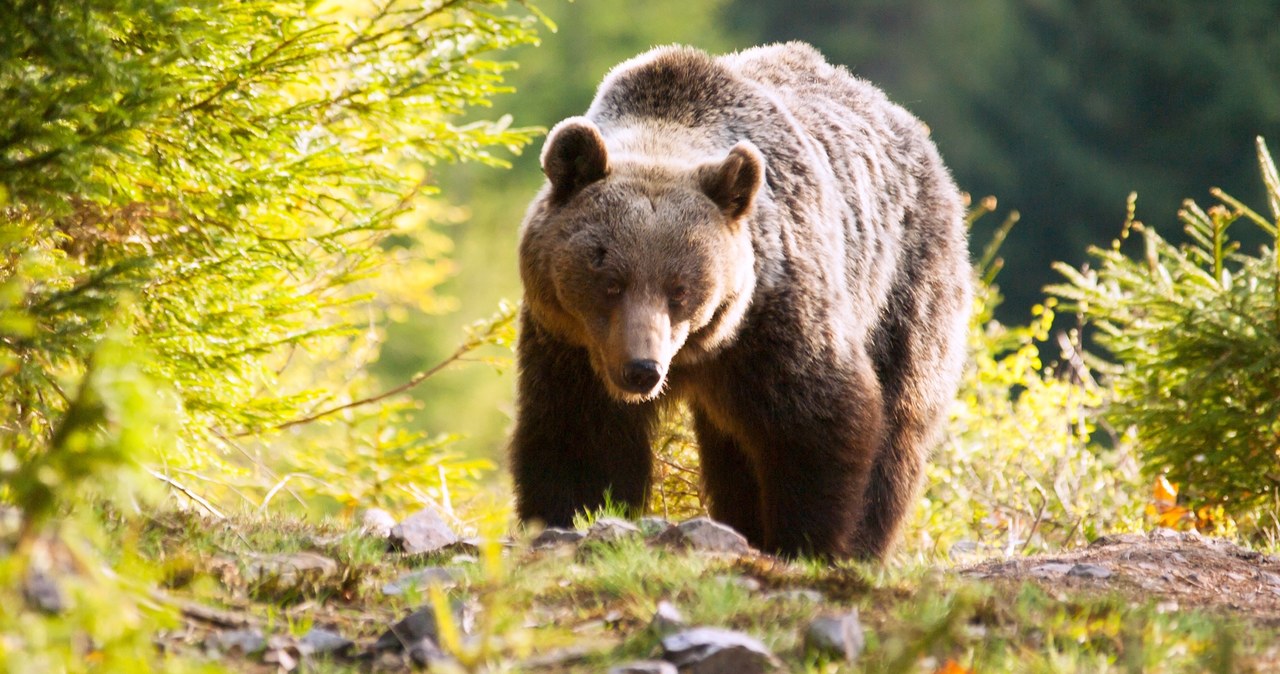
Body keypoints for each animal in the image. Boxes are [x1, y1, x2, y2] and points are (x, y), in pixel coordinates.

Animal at [509, 40, 967, 560]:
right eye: (609, 280)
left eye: (680, 288)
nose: (642, 369)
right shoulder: (570, 341)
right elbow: (580, 435)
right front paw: (569, 516)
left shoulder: (773, 317)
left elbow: (818, 421)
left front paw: (810, 541)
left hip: (903, 286)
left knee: (899, 424)